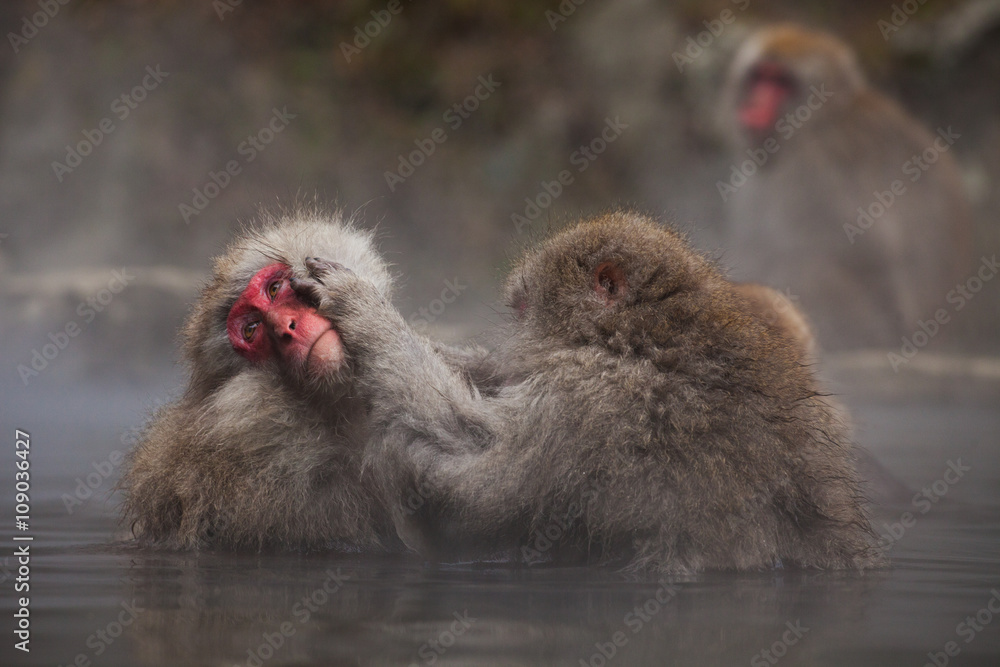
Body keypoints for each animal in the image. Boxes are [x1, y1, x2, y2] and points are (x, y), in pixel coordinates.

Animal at [291, 210, 883, 573]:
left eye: (523, 308)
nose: (517, 334)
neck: (647, 335)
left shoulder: (587, 402)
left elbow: (473, 475)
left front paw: (364, 312)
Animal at [721, 24, 973, 350]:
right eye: (760, 76)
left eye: (781, 83)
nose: (753, 105)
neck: (821, 119)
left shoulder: (814, 164)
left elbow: (863, 246)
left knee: (805, 264)